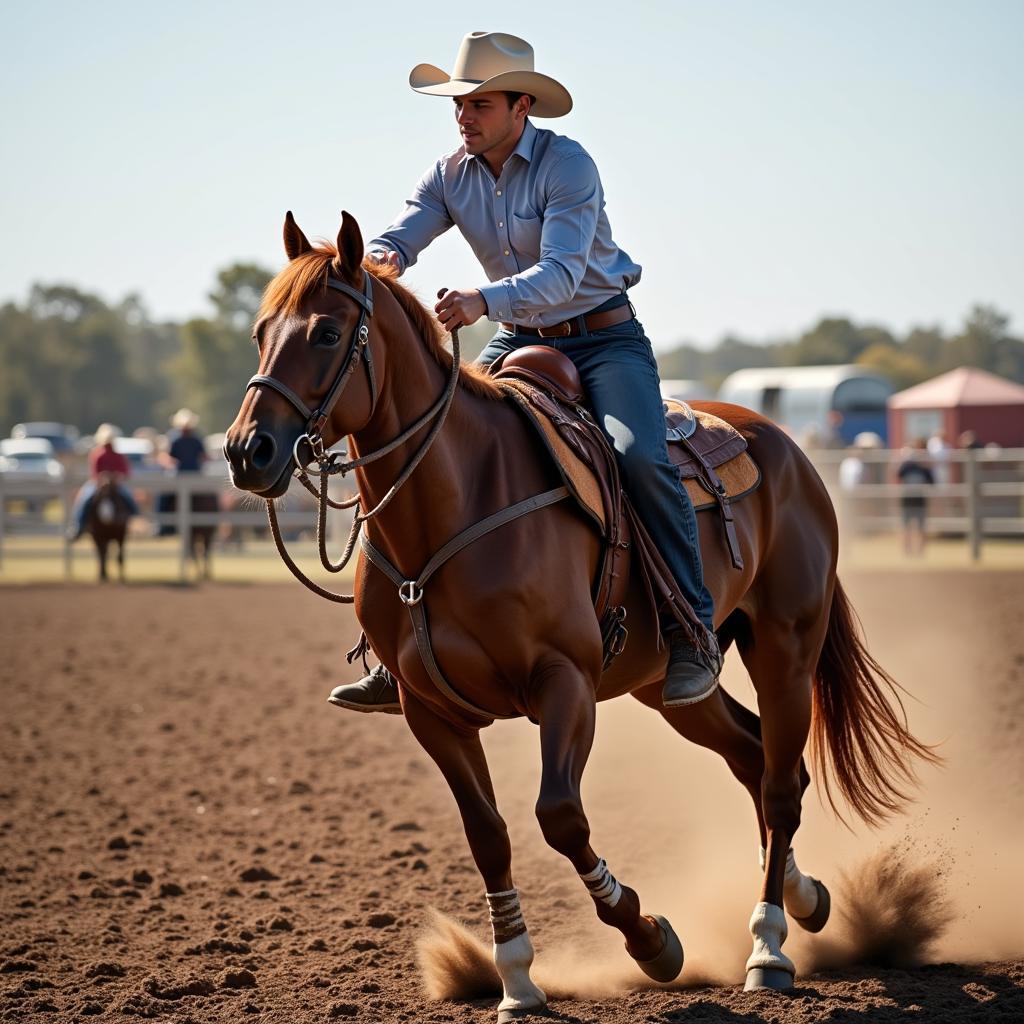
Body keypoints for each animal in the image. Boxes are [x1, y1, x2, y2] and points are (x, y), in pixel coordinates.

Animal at [224, 211, 937, 1019]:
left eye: (324, 332)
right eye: (260, 331)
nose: (247, 451)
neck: (457, 502)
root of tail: (787, 450)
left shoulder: (563, 683)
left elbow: (559, 814)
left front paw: (651, 939)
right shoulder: (428, 710)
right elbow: (488, 833)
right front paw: (516, 980)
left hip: (786, 648)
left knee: (783, 783)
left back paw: (769, 944)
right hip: (669, 686)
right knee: (753, 758)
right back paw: (804, 895)